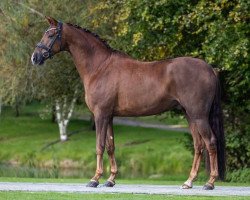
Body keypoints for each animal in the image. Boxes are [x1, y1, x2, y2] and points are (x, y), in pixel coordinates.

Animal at [30, 16, 225, 190]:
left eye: (50, 34)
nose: (35, 57)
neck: (100, 67)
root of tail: (210, 69)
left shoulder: (100, 115)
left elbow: (99, 146)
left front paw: (95, 179)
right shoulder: (109, 116)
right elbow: (110, 145)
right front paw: (110, 180)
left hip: (199, 116)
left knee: (210, 142)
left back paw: (209, 183)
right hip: (189, 115)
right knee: (199, 146)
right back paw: (188, 182)